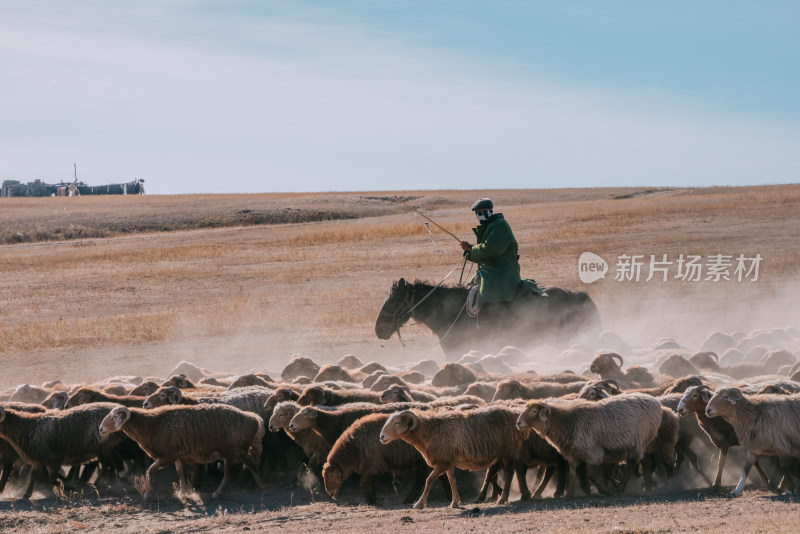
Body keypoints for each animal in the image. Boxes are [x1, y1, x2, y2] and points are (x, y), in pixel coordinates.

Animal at [98, 406, 264, 502]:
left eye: (114, 417)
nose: (100, 429)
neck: (152, 424)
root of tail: (254, 418)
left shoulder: (166, 456)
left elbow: (150, 470)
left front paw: (146, 495)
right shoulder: (176, 455)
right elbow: (179, 472)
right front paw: (182, 493)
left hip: (232, 450)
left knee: (233, 470)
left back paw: (221, 492)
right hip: (238, 450)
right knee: (247, 465)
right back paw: (258, 484)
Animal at [516, 394, 660, 498]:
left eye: (534, 411)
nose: (518, 423)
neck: (568, 422)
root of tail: (654, 401)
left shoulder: (594, 454)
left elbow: (590, 475)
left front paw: (604, 491)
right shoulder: (572, 454)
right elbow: (572, 473)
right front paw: (569, 495)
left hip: (639, 441)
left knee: (632, 464)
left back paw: (621, 489)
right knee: (637, 463)